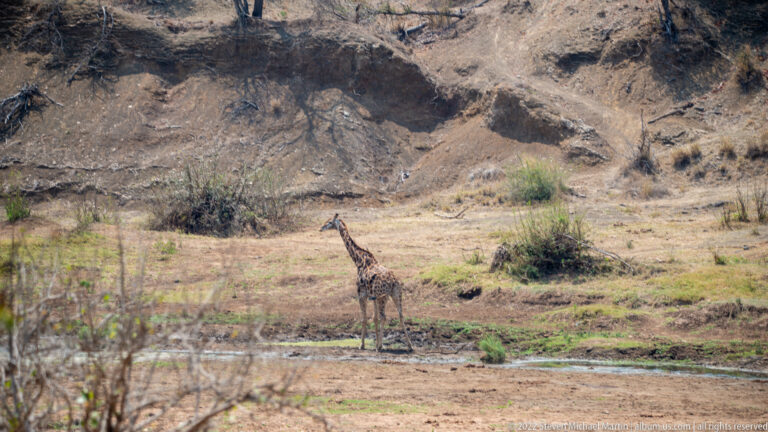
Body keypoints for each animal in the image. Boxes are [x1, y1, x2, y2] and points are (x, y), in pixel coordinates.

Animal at [320, 214, 414, 352]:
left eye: (329, 222)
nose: (321, 228)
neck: (358, 260)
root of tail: (393, 281)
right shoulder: (372, 296)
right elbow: (374, 318)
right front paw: (375, 343)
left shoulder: (361, 294)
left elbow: (364, 318)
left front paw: (362, 345)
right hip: (396, 294)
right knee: (401, 315)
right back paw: (409, 346)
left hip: (383, 297)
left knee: (384, 316)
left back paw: (380, 347)